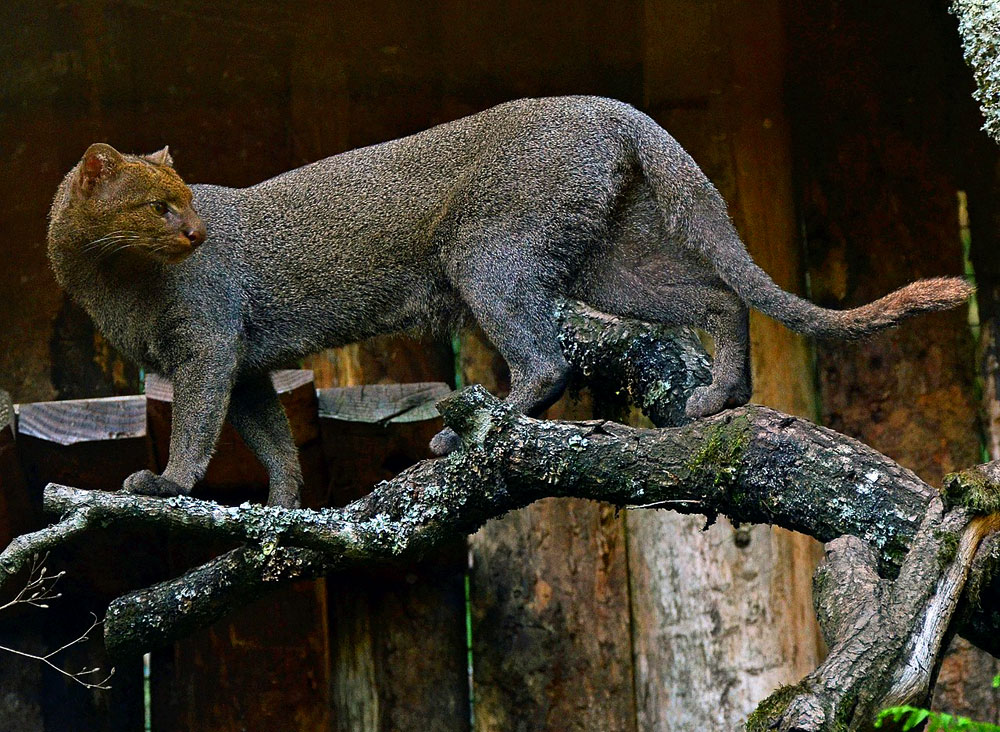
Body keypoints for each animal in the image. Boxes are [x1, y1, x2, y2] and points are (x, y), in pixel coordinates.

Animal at [45, 96, 968, 508]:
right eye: (158, 207)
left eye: (185, 202)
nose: (198, 232)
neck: (108, 283)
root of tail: (609, 105)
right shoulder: (244, 362)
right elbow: (270, 436)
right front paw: (281, 507)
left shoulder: (208, 344)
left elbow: (198, 427)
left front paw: (165, 484)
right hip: (604, 261)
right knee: (715, 297)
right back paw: (719, 395)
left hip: (488, 258)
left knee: (548, 359)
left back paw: (463, 434)